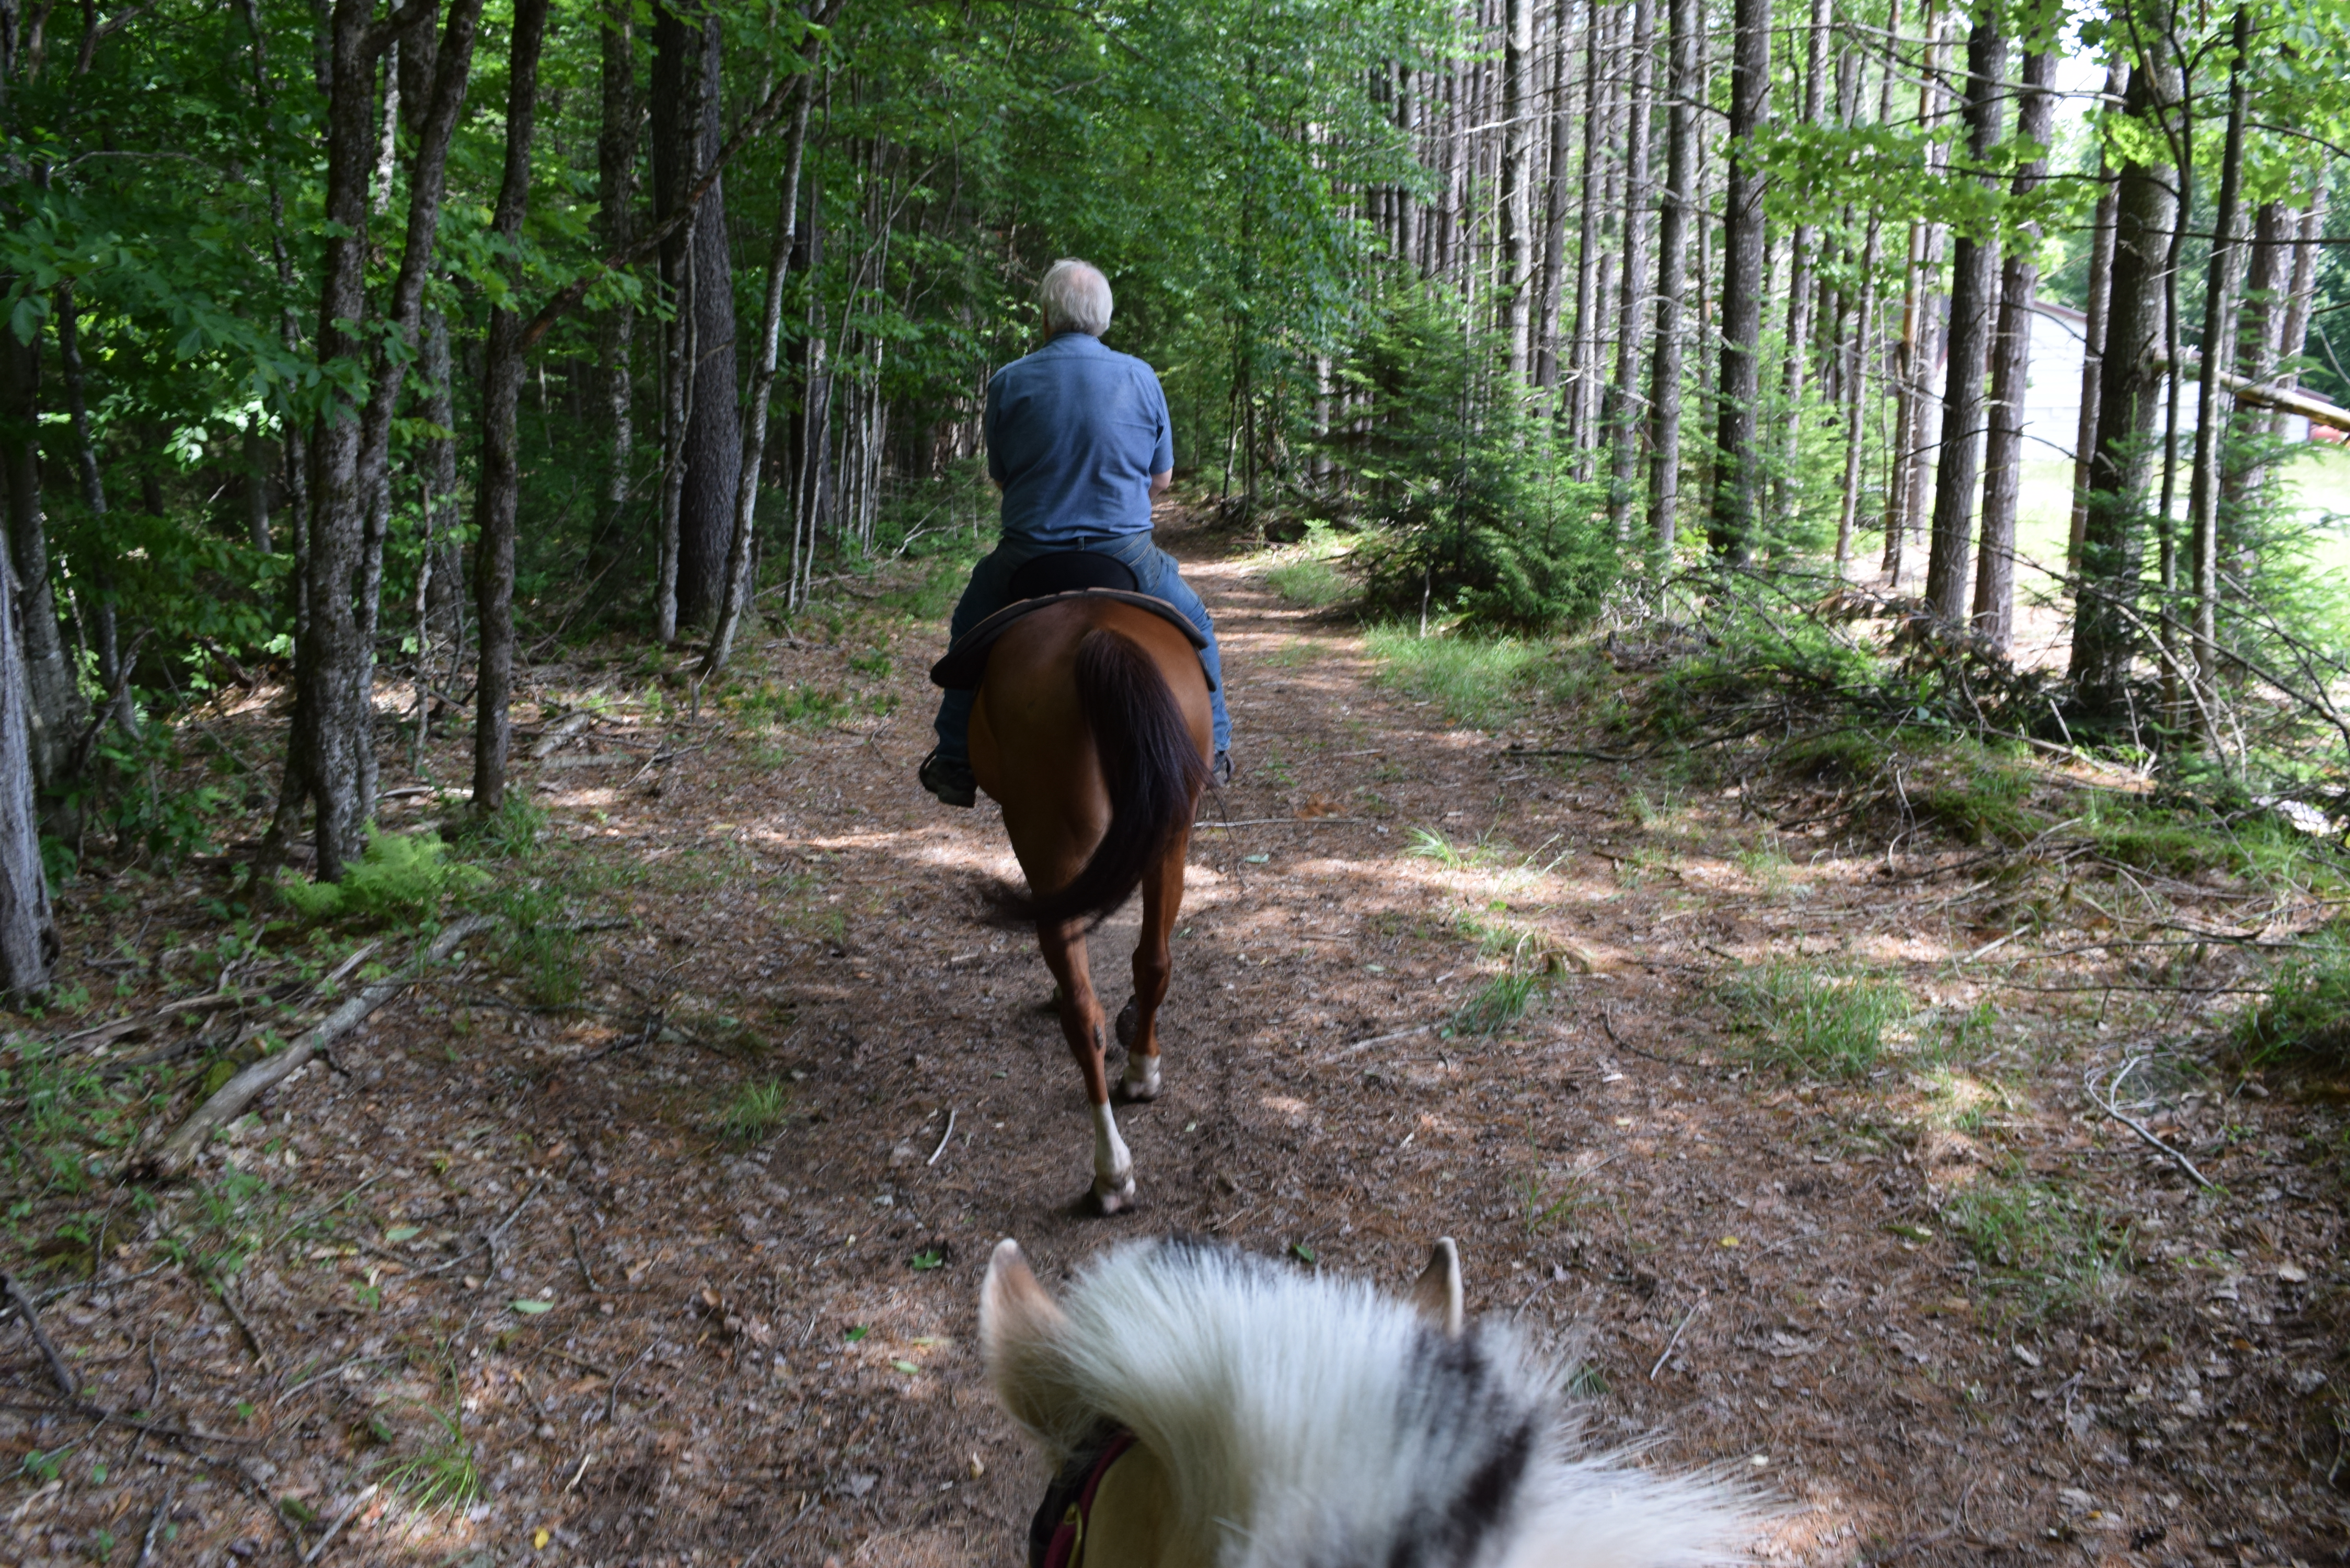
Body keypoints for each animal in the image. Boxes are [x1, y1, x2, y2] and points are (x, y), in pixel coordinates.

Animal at [968, 594, 1212, 1222]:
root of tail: (1098, 634)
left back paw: (1111, 1173)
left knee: (1085, 1012)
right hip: (1167, 834)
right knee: (1151, 964)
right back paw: (1139, 1081)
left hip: (1045, 843)